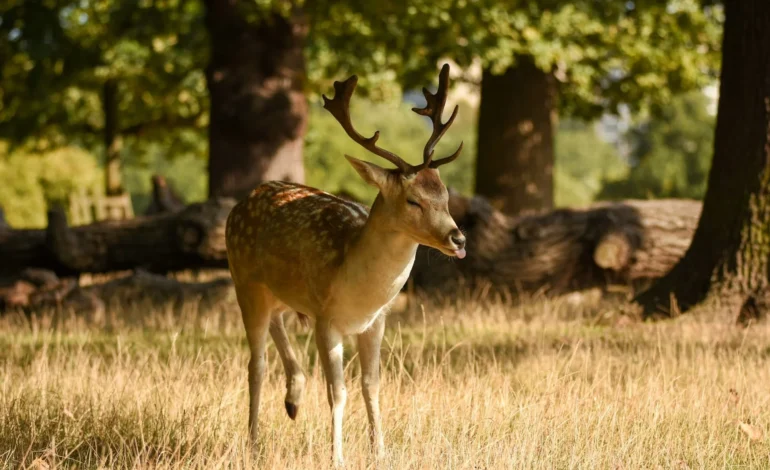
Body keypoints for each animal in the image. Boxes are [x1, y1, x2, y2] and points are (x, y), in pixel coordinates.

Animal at [225, 63, 466, 466]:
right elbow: (337, 392)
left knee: (277, 324)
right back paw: (254, 444)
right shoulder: (326, 319)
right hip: (244, 281)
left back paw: (293, 399)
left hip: (279, 293)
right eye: (413, 200)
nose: (458, 239)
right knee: (255, 364)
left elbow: (372, 385)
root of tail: (244, 200)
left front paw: (380, 451)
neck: (357, 288)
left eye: (445, 195)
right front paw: (336, 457)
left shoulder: (377, 321)